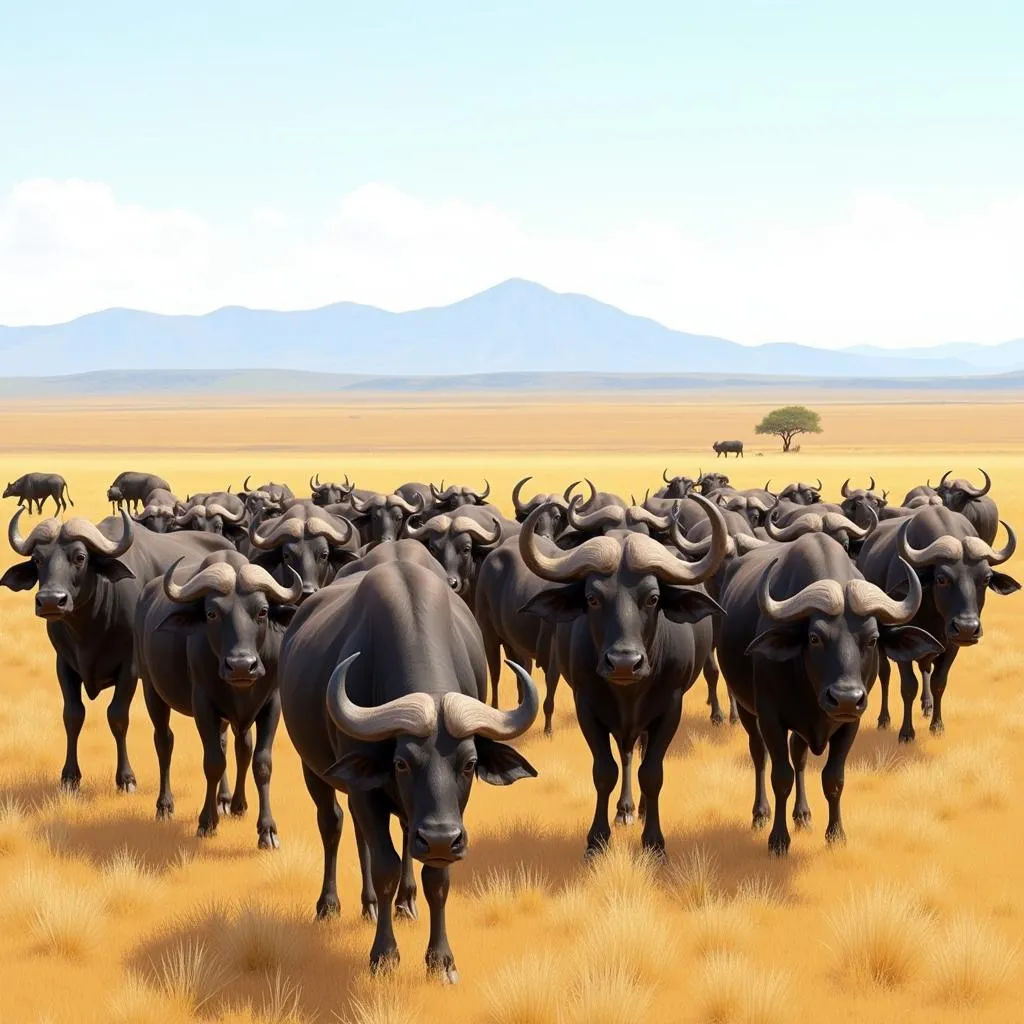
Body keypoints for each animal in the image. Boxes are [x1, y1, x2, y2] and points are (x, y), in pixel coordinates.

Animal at [0, 512, 231, 790]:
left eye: (80, 557)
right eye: (37, 559)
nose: (50, 601)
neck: (89, 628)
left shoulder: (129, 668)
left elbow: (117, 716)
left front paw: (126, 778)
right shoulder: (64, 664)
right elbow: (72, 715)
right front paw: (70, 776)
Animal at [134, 557, 299, 843]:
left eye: (263, 611)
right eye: (211, 613)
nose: (242, 666)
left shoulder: (271, 704)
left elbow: (259, 761)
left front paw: (266, 828)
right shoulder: (203, 704)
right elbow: (213, 761)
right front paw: (206, 821)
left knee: (235, 745)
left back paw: (229, 801)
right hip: (151, 690)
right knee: (164, 741)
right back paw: (165, 805)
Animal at [520, 493, 729, 856]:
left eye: (653, 598)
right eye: (592, 598)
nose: (623, 662)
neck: (628, 692)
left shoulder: (670, 708)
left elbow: (653, 772)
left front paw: (654, 841)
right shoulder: (587, 706)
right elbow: (605, 770)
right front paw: (596, 839)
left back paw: (639, 810)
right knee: (626, 752)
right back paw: (626, 810)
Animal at [716, 532, 937, 851]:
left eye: (873, 639)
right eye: (814, 637)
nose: (845, 698)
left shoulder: (850, 723)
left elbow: (833, 778)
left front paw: (835, 834)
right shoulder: (770, 717)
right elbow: (780, 776)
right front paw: (778, 839)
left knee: (799, 755)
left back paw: (803, 813)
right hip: (746, 707)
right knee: (759, 753)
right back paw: (760, 813)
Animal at [856, 505, 1015, 741]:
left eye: (986, 579)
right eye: (942, 579)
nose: (967, 628)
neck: (935, 613)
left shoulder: (952, 646)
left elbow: (939, 681)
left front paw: (937, 725)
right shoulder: (902, 643)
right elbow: (908, 686)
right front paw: (906, 732)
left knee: (925, 668)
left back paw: (927, 704)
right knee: (885, 674)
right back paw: (884, 719)